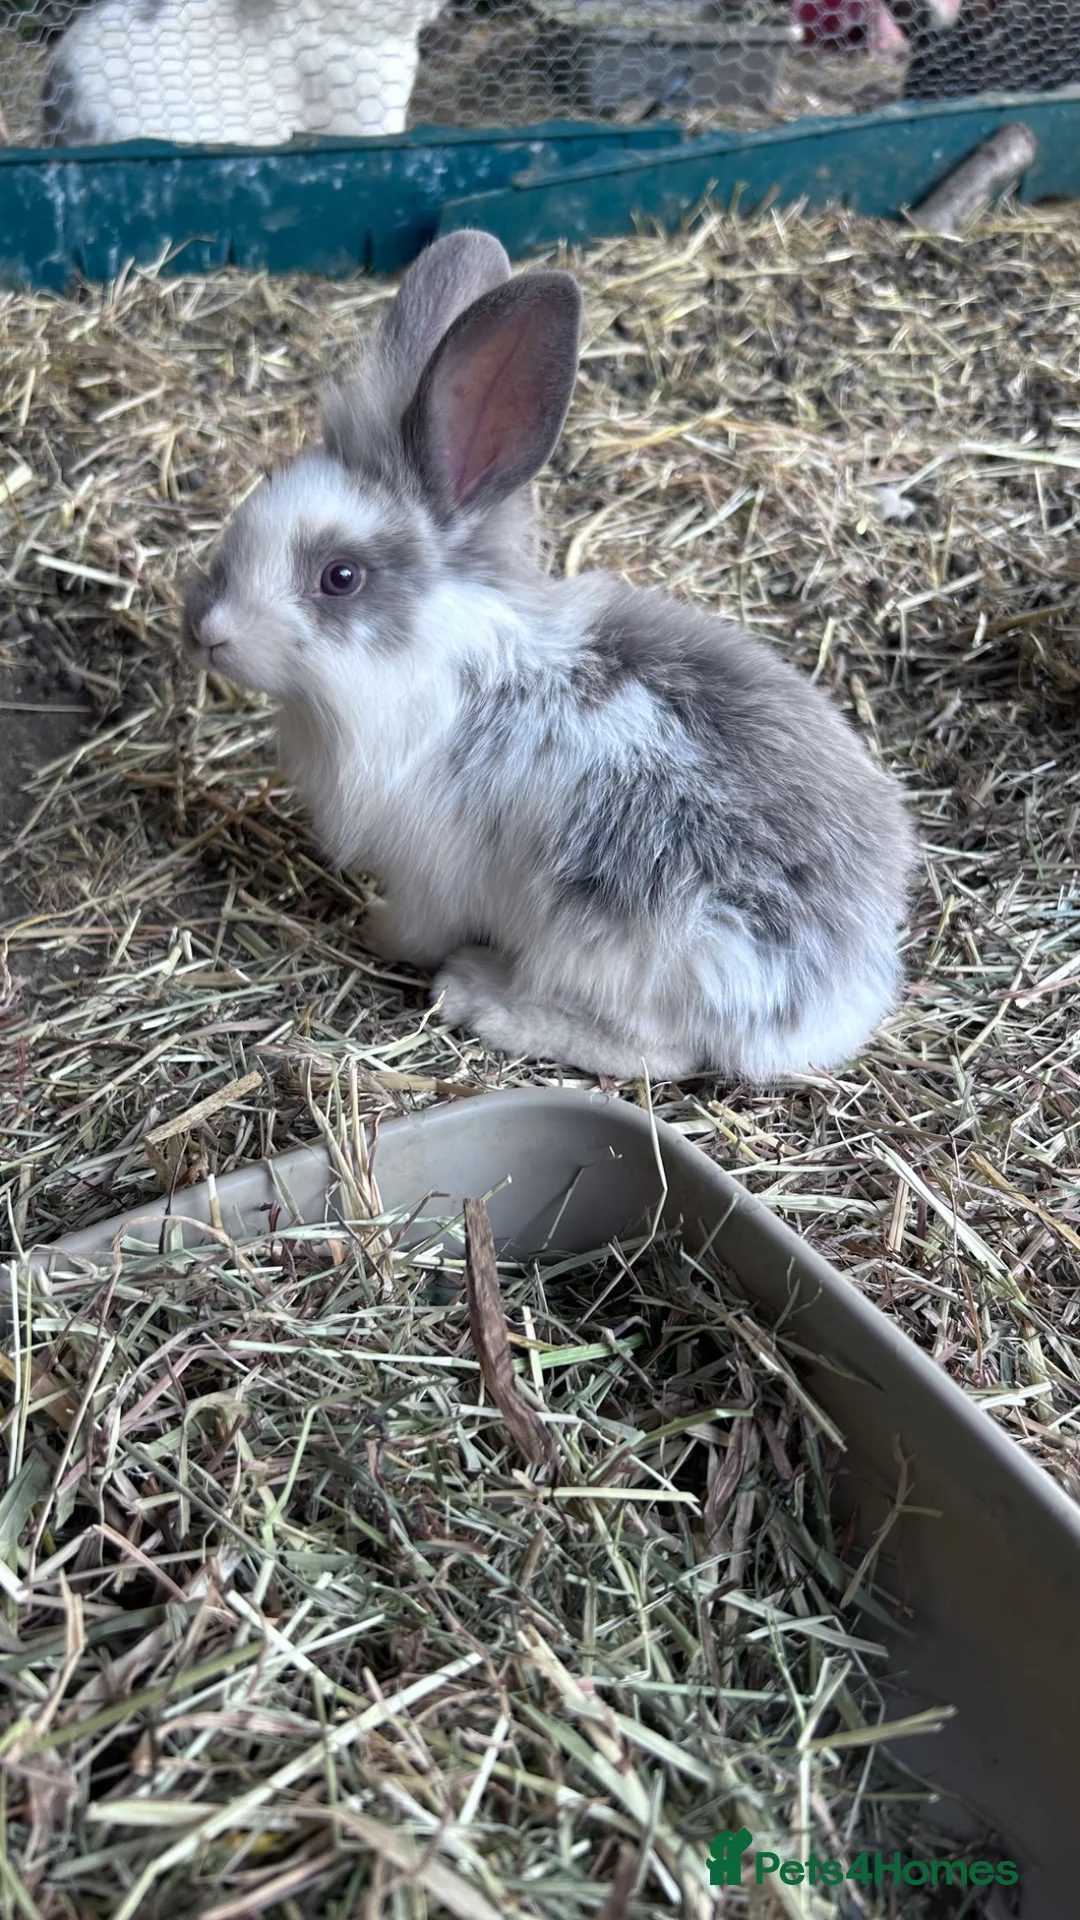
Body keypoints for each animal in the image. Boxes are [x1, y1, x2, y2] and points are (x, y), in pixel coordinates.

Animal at [182, 229, 918, 1082]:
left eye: (340, 577)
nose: (205, 631)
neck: (430, 659)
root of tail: (841, 999)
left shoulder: (429, 873)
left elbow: (415, 926)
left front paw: (374, 933)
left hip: (620, 946)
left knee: (662, 1051)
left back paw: (481, 996)